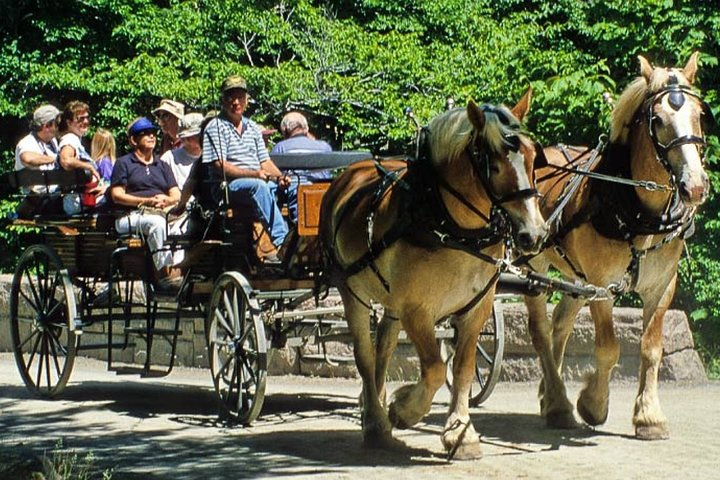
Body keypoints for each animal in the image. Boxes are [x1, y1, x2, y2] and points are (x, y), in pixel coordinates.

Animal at [320, 89, 547, 458]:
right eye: (494, 164)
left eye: (531, 158)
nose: (535, 234)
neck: (450, 226)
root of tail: (350, 172)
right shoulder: (417, 310)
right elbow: (436, 368)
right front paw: (404, 409)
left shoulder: (476, 307)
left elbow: (463, 367)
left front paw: (461, 432)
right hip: (352, 292)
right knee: (365, 355)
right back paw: (376, 422)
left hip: (390, 300)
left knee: (383, 346)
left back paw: (375, 402)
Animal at [524, 52, 711, 440]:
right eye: (658, 120)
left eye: (700, 115)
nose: (695, 186)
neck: (640, 212)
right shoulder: (602, 286)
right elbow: (609, 348)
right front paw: (593, 404)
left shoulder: (662, 286)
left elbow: (652, 349)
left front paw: (649, 416)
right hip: (536, 267)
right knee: (540, 332)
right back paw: (560, 404)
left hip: (576, 279)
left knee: (560, 325)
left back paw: (550, 394)